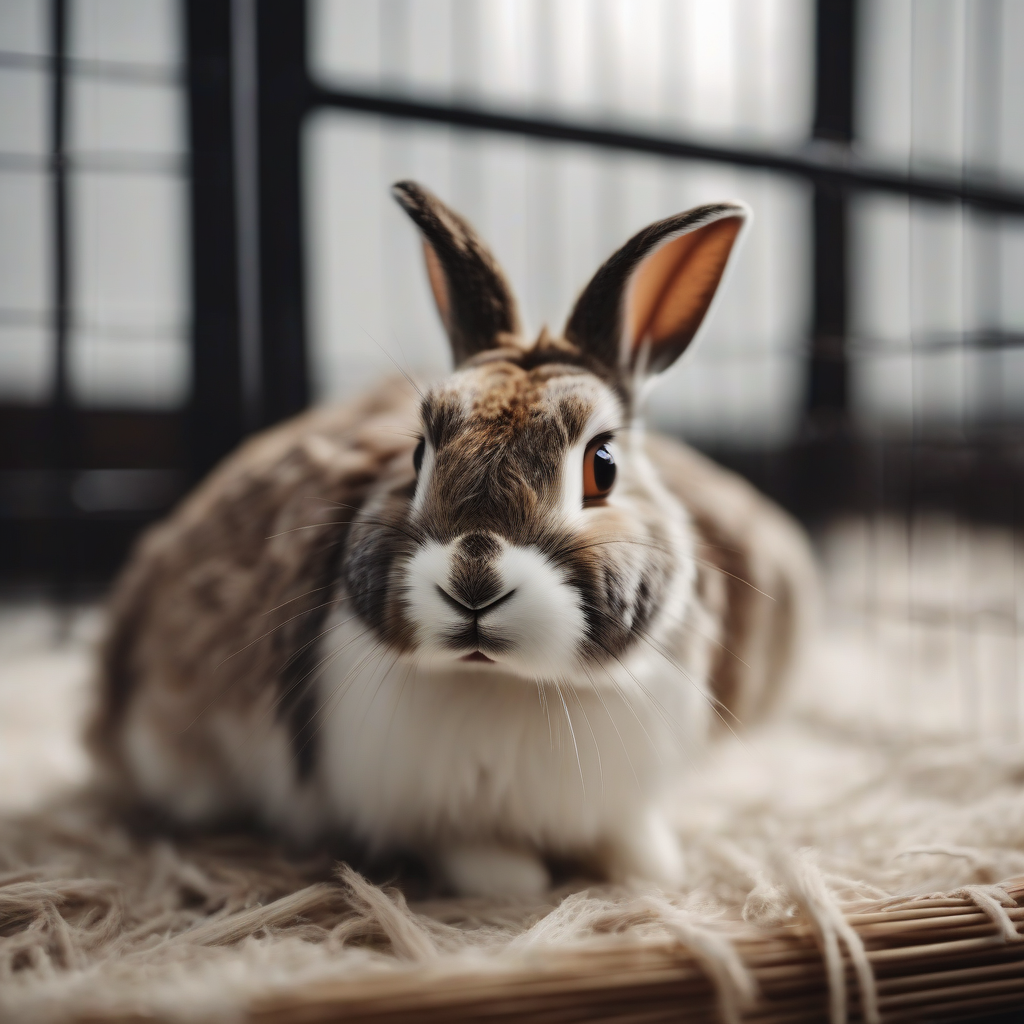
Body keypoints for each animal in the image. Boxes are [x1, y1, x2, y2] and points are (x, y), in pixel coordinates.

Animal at [89, 181, 815, 898]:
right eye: (418, 454)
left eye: (602, 465)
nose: (474, 584)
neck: (510, 684)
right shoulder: (425, 807)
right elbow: (476, 854)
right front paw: (515, 883)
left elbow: (627, 839)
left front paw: (652, 872)